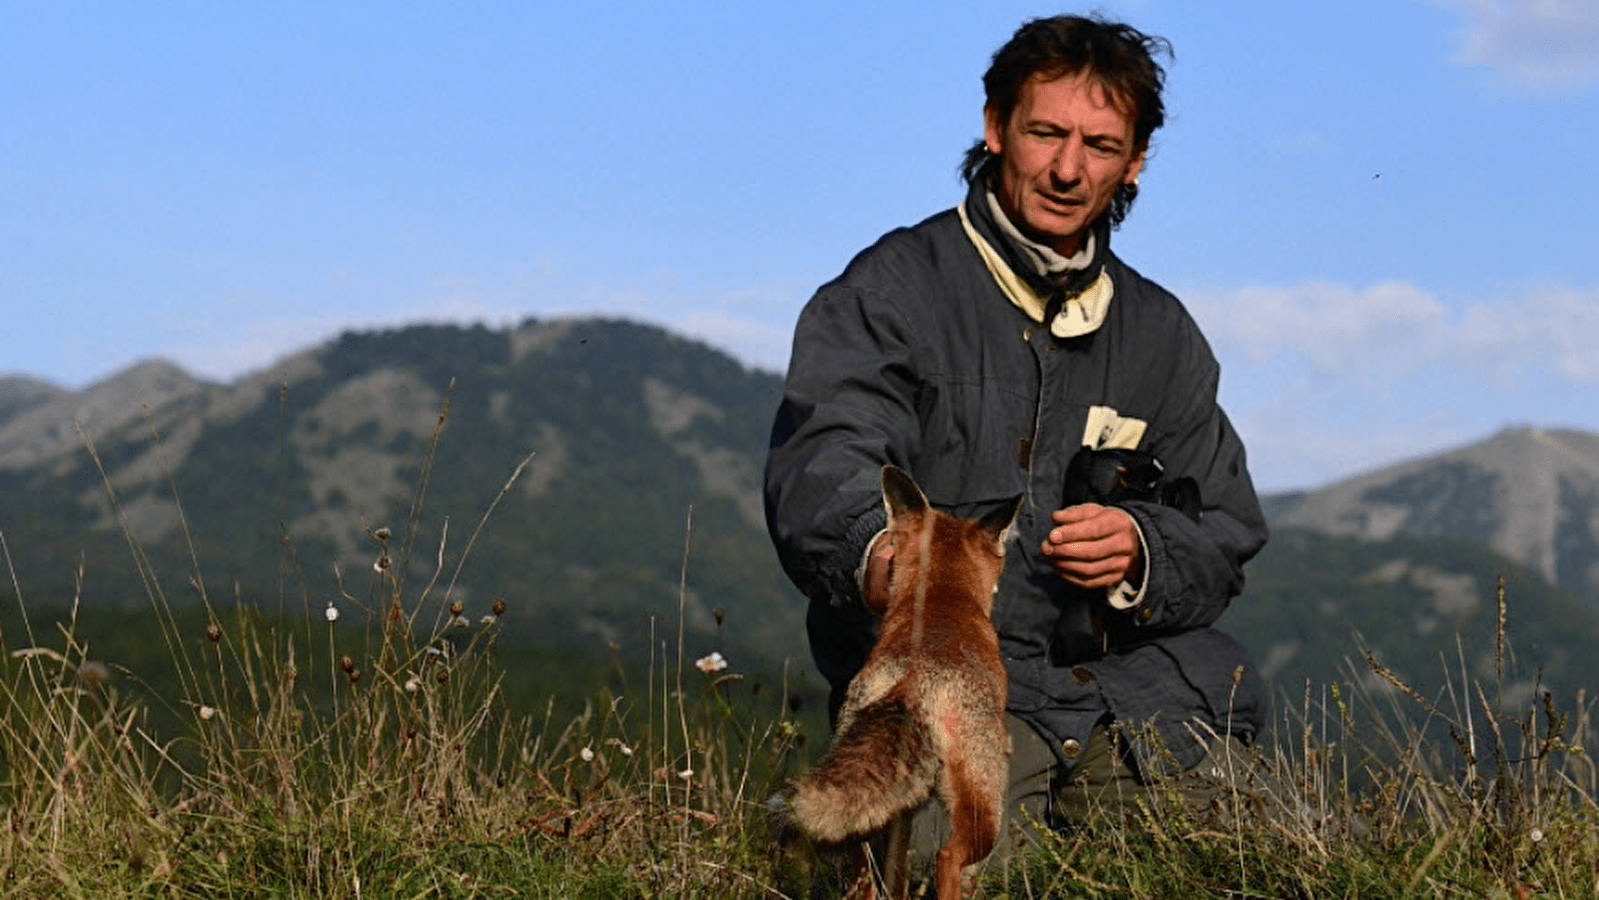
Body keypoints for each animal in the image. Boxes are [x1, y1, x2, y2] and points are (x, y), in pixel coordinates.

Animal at [786, 469, 1023, 895]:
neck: (941, 601)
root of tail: (912, 682)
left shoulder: (903, 813)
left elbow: (895, 876)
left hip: (871, 817)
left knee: (866, 880)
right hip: (986, 807)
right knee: (949, 859)